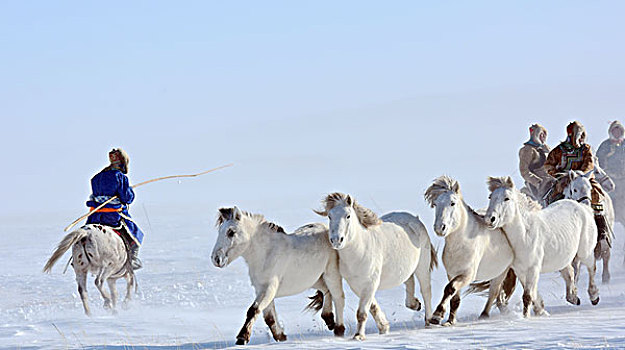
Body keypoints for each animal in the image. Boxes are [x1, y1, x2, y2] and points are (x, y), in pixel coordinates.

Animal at [212, 206, 344, 346]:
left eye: (231, 232)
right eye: (220, 231)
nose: (216, 259)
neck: (266, 253)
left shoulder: (268, 289)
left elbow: (253, 310)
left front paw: (242, 338)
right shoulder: (262, 289)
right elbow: (269, 317)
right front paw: (281, 337)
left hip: (331, 274)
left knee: (338, 296)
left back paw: (339, 330)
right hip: (315, 279)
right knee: (326, 290)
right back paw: (329, 319)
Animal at [314, 193, 436, 340]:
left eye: (348, 215)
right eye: (329, 216)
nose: (336, 240)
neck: (360, 249)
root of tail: (415, 219)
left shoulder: (370, 283)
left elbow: (362, 313)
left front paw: (358, 336)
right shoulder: (357, 285)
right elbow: (372, 307)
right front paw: (383, 327)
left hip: (422, 266)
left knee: (426, 291)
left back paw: (429, 321)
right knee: (409, 282)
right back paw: (415, 304)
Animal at [424, 176, 516, 326]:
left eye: (452, 203)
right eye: (436, 204)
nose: (440, 228)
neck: (463, 243)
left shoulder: (467, 275)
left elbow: (449, 288)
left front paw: (437, 316)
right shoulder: (452, 273)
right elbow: (454, 298)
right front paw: (450, 321)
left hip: (501, 273)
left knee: (494, 292)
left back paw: (484, 315)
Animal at [486, 175, 596, 318]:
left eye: (507, 198)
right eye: (490, 197)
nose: (490, 219)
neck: (524, 235)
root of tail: (583, 207)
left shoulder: (533, 269)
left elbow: (527, 296)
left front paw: (526, 317)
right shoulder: (521, 270)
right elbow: (532, 295)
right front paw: (541, 311)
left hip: (585, 252)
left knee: (591, 268)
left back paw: (594, 297)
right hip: (563, 259)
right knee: (570, 273)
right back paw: (573, 298)